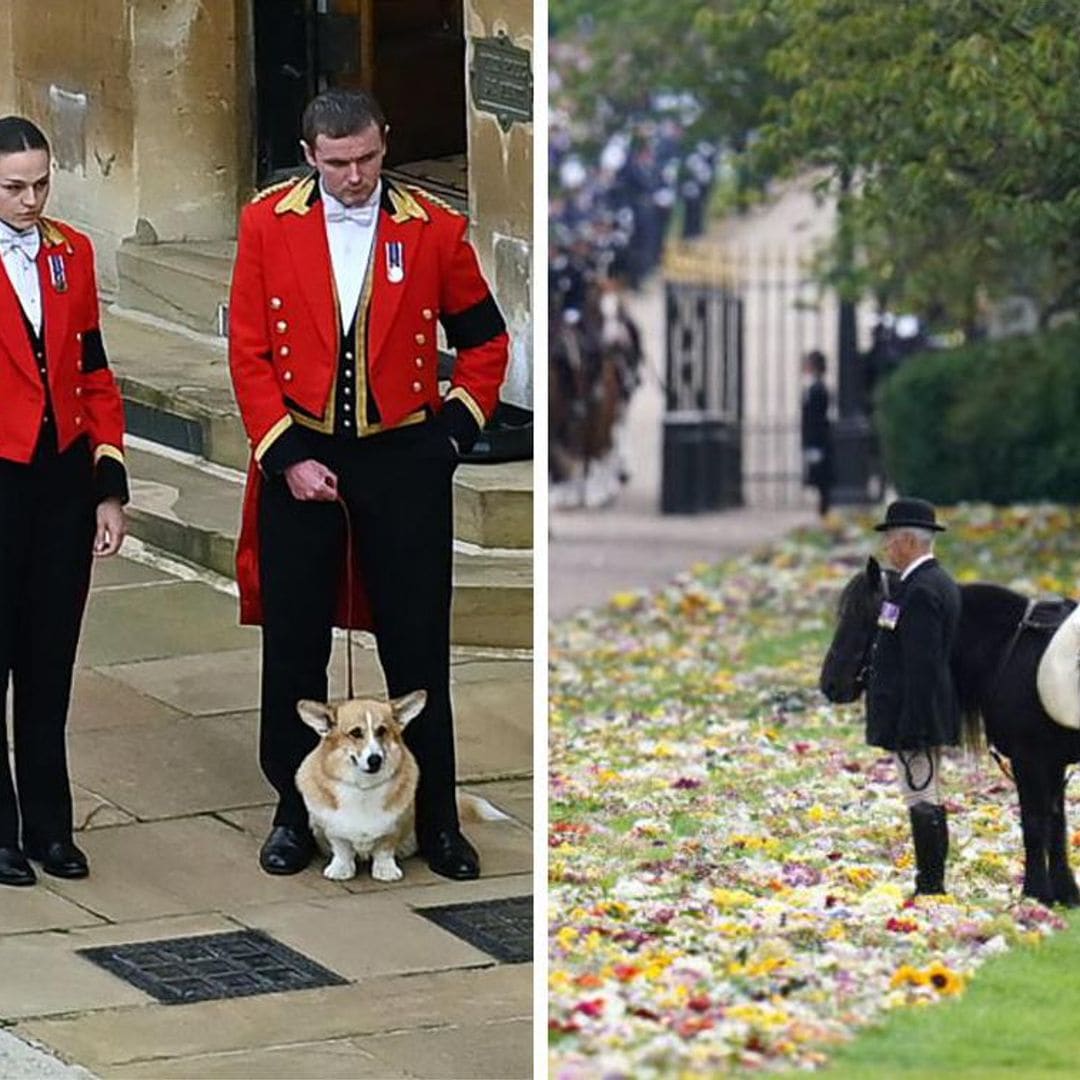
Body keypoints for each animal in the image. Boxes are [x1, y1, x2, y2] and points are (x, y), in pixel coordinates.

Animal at [293, 695, 507, 881]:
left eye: (382, 730)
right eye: (355, 733)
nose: (375, 759)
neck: (364, 787)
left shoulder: (393, 826)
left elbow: (385, 848)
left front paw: (385, 871)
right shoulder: (332, 828)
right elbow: (342, 848)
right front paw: (340, 869)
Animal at [816, 561, 1080, 907]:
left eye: (860, 612)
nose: (830, 683)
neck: (1012, 650)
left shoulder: (1031, 760)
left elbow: (1036, 824)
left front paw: (1035, 893)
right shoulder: (1052, 762)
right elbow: (1057, 824)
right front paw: (1066, 893)